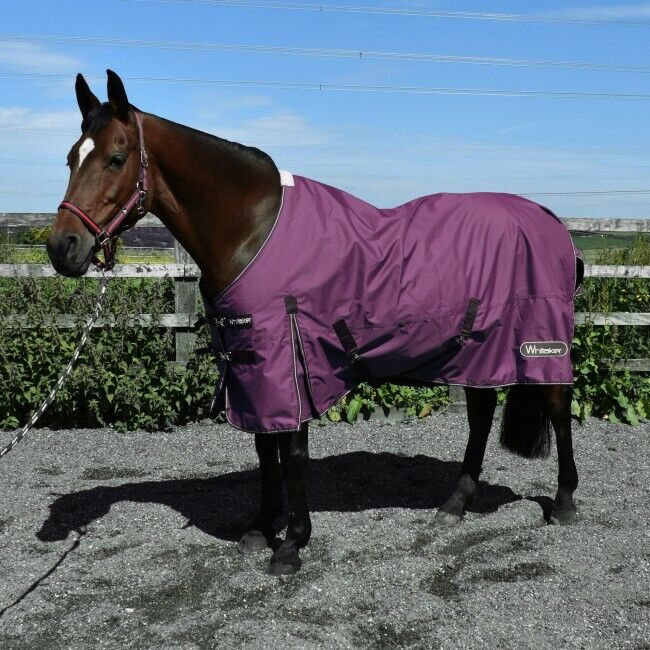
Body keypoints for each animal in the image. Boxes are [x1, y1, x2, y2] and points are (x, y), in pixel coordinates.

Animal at [47, 70, 582, 576]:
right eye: (71, 158)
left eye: (116, 159)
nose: (62, 247)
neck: (251, 229)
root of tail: (551, 220)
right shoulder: (250, 363)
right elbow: (265, 449)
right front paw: (261, 528)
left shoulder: (290, 357)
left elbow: (294, 454)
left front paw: (292, 543)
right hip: (475, 348)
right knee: (480, 414)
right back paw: (454, 504)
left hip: (540, 343)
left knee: (557, 408)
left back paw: (563, 503)